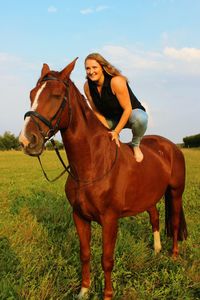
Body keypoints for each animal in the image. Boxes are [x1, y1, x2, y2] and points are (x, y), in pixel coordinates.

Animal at [19, 59, 188, 300]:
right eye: (32, 94)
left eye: (57, 96)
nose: (27, 140)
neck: (92, 165)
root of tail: (171, 146)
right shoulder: (79, 217)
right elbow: (85, 254)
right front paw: (84, 290)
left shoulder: (110, 220)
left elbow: (107, 259)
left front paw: (107, 294)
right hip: (150, 195)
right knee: (154, 217)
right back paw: (156, 250)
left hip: (175, 192)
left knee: (173, 224)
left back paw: (173, 256)